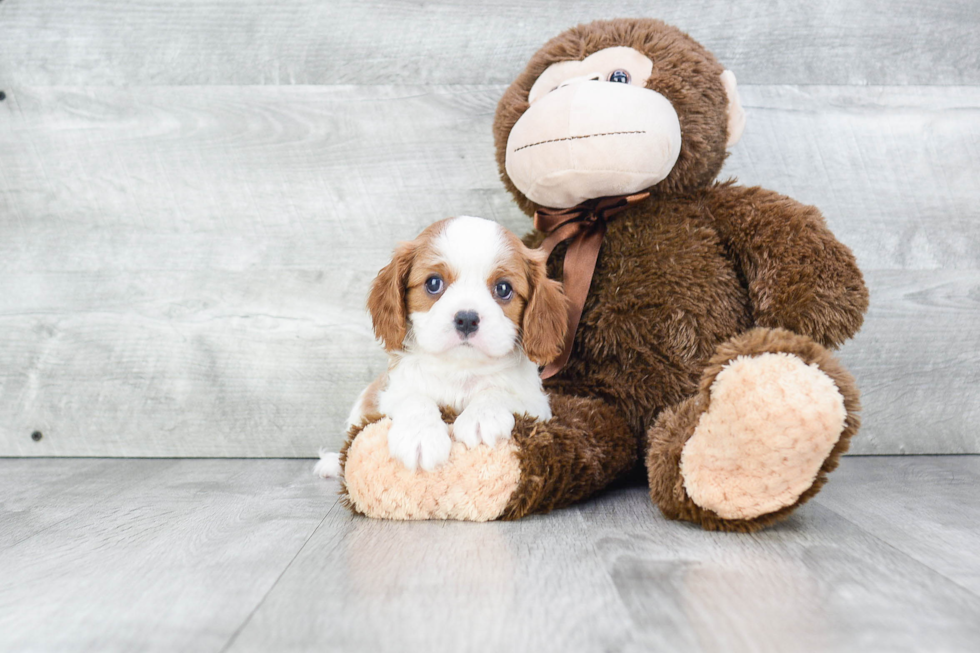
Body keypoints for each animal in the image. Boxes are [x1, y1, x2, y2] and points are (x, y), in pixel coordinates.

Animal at [320, 214, 568, 474]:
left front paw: (481, 416)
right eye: (433, 283)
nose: (467, 319)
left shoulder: (537, 404)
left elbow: (498, 391)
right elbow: (414, 398)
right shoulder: (390, 394)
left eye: (503, 288)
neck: (461, 369)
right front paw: (419, 436)